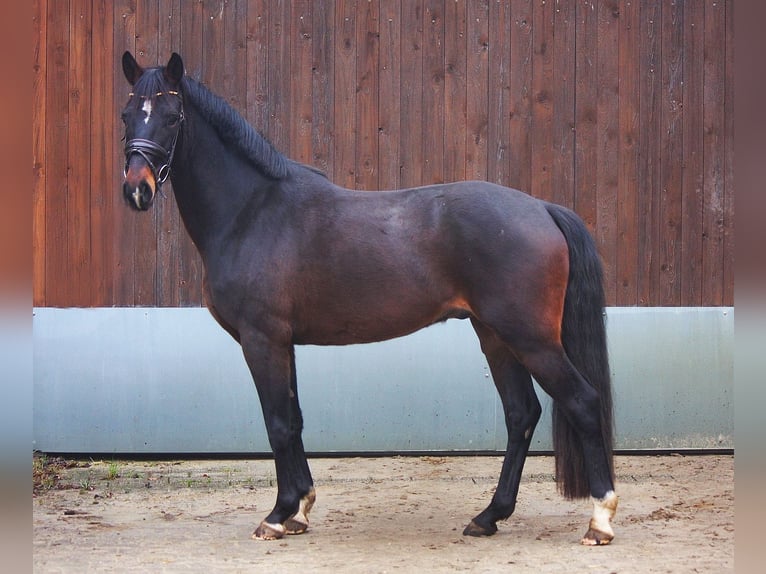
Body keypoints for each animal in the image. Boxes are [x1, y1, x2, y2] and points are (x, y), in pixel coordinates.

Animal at [120, 51, 618, 545]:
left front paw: (279, 515)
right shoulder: (284, 343)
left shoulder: (262, 340)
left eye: (172, 117)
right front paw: (300, 508)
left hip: (532, 340)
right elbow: (294, 420)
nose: (136, 189)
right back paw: (489, 515)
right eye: (127, 115)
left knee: (582, 402)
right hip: (496, 338)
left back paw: (600, 520)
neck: (253, 211)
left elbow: (277, 423)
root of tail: (543, 209)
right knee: (521, 414)